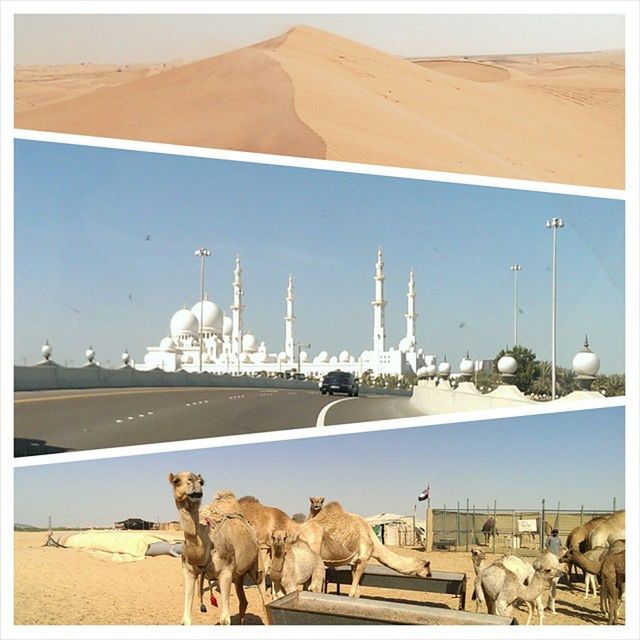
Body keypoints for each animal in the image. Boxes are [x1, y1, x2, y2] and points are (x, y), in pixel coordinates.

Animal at [169, 476, 266, 624]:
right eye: (176, 481)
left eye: (200, 481)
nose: (190, 491)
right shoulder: (188, 571)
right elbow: (185, 620)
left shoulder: (225, 573)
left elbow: (225, 619)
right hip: (238, 574)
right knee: (243, 601)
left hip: (257, 564)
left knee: (264, 599)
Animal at [296, 500, 430, 600]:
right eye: (427, 567)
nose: (430, 574)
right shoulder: (364, 559)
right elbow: (352, 592)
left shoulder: (355, 563)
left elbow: (357, 592)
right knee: (312, 586)